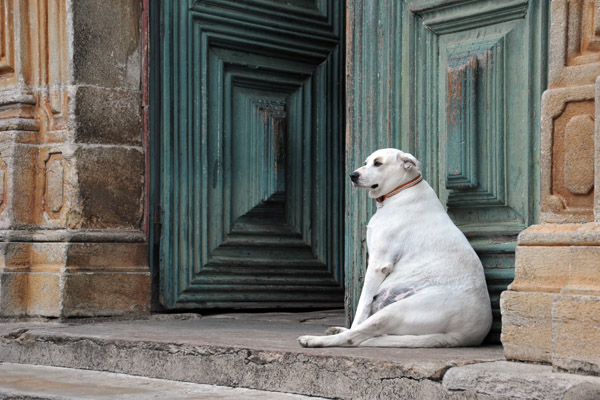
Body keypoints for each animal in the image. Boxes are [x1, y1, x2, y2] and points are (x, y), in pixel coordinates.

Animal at [298, 148, 492, 346]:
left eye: (378, 163)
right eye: (366, 162)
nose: (353, 175)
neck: (400, 191)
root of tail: (465, 336)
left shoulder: (378, 264)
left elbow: (362, 306)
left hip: (397, 311)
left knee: (356, 336)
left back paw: (316, 340)